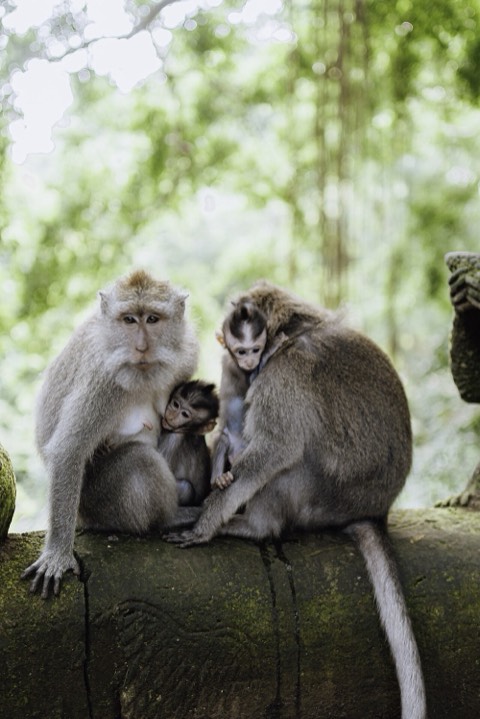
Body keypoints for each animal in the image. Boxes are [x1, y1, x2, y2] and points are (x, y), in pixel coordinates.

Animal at [22, 270, 199, 599]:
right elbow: (69, 451)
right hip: (98, 503)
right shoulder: (102, 380)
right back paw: (170, 518)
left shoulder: (187, 353)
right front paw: (57, 555)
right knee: (140, 459)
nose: (141, 348)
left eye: (152, 319)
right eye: (129, 319)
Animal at [211, 301, 288, 490]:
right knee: (222, 439)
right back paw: (218, 479)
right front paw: (274, 346)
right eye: (241, 352)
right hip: (229, 441)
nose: (250, 361)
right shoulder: (237, 369)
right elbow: (252, 382)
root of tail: (236, 452)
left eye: (255, 349)